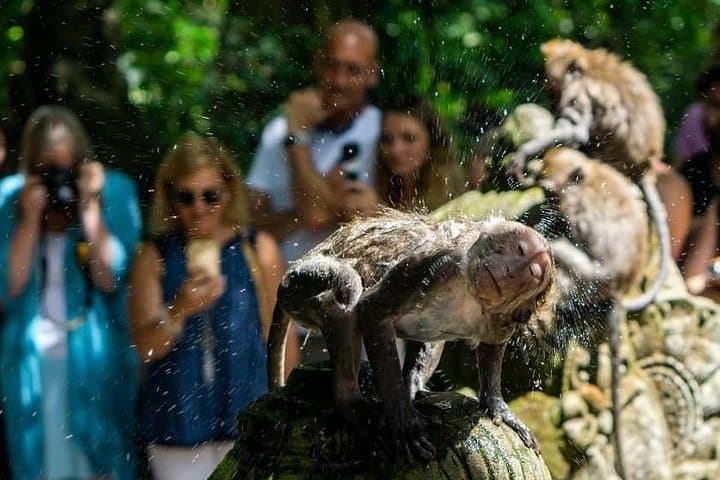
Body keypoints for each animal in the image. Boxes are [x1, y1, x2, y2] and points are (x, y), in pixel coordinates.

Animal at [267, 209, 556, 464]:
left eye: (531, 274)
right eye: (520, 250)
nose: (510, 271)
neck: (469, 293)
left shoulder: (503, 319)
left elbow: (493, 345)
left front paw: (496, 405)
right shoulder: (435, 262)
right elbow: (372, 311)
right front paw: (404, 423)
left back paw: (412, 386)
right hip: (297, 284)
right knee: (346, 285)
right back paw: (350, 401)